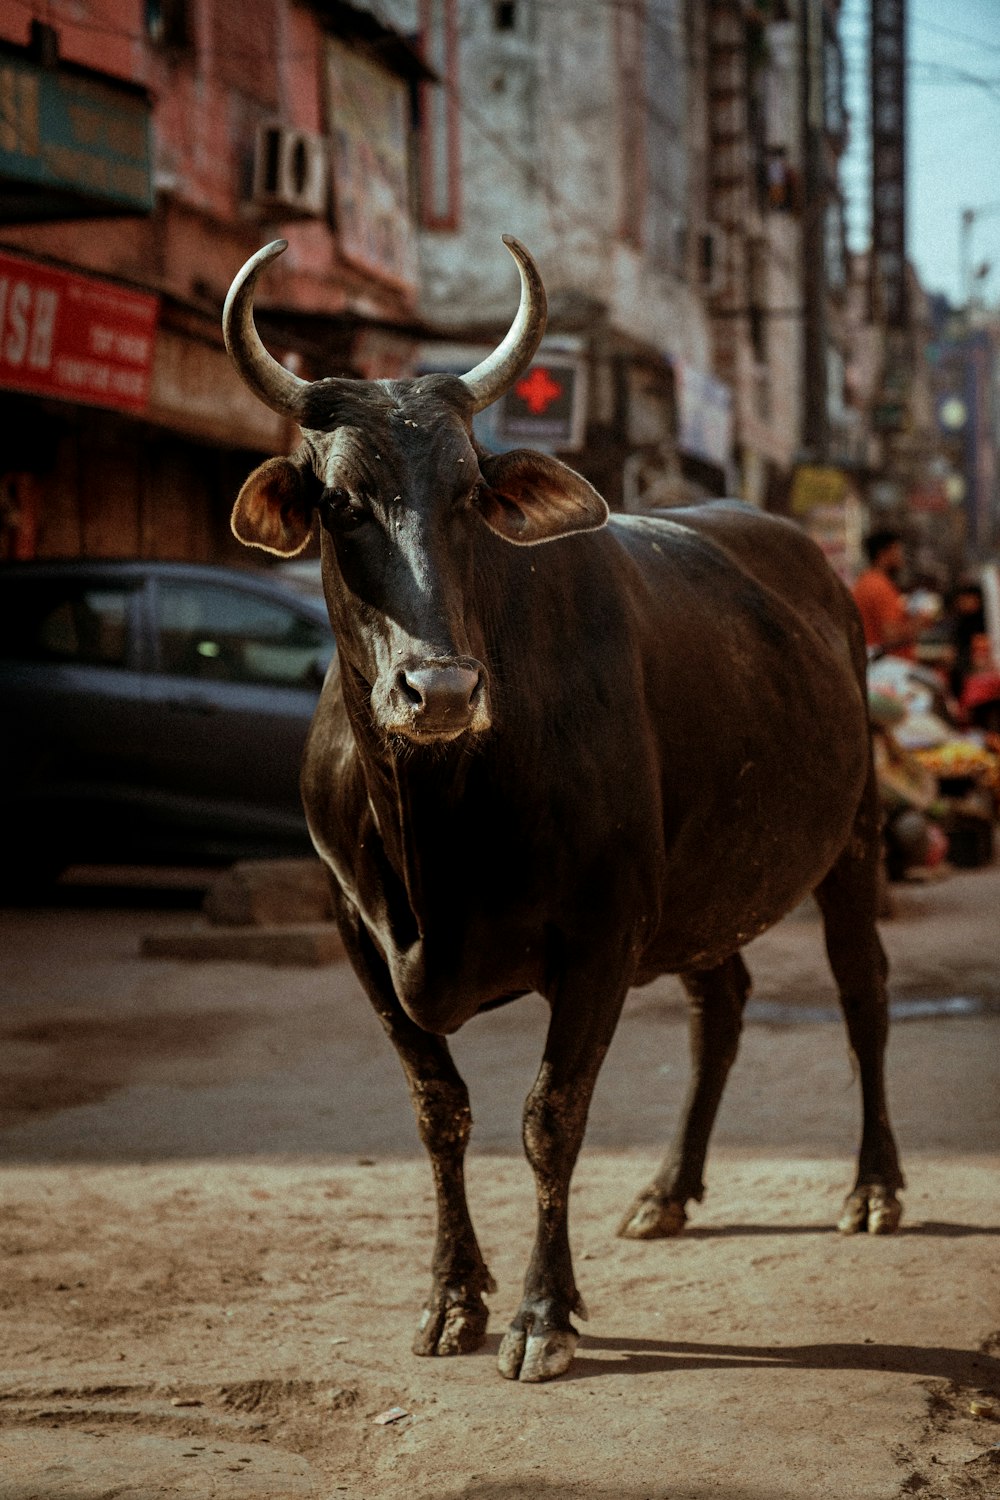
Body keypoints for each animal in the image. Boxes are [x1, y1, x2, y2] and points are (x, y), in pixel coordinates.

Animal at [223, 231, 905, 1380]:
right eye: (340, 502)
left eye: (467, 495)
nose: (440, 690)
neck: (434, 819)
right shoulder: (361, 934)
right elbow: (439, 1113)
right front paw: (452, 1296)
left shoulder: (601, 934)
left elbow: (551, 1118)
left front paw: (544, 1314)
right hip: (703, 884)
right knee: (720, 1009)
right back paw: (668, 1191)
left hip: (849, 844)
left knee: (862, 997)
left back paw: (873, 1186)